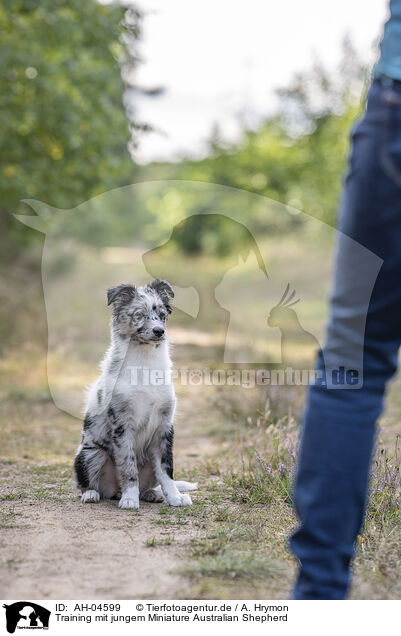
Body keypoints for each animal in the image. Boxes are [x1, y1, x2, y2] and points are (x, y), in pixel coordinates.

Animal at [74, 280, 197, 510]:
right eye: (139, 314)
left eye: (162, 314)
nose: (159, 331)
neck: (145, 362)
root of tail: (114, 491)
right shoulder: (122, 425)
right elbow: (128, 466)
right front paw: (130, 499)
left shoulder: (164, 427)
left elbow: (167, 469)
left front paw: (175, 497)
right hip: (91, 454)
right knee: (88, 484)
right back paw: (94, 494)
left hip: (148, 459)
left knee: (150, 482)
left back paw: (152, 494)